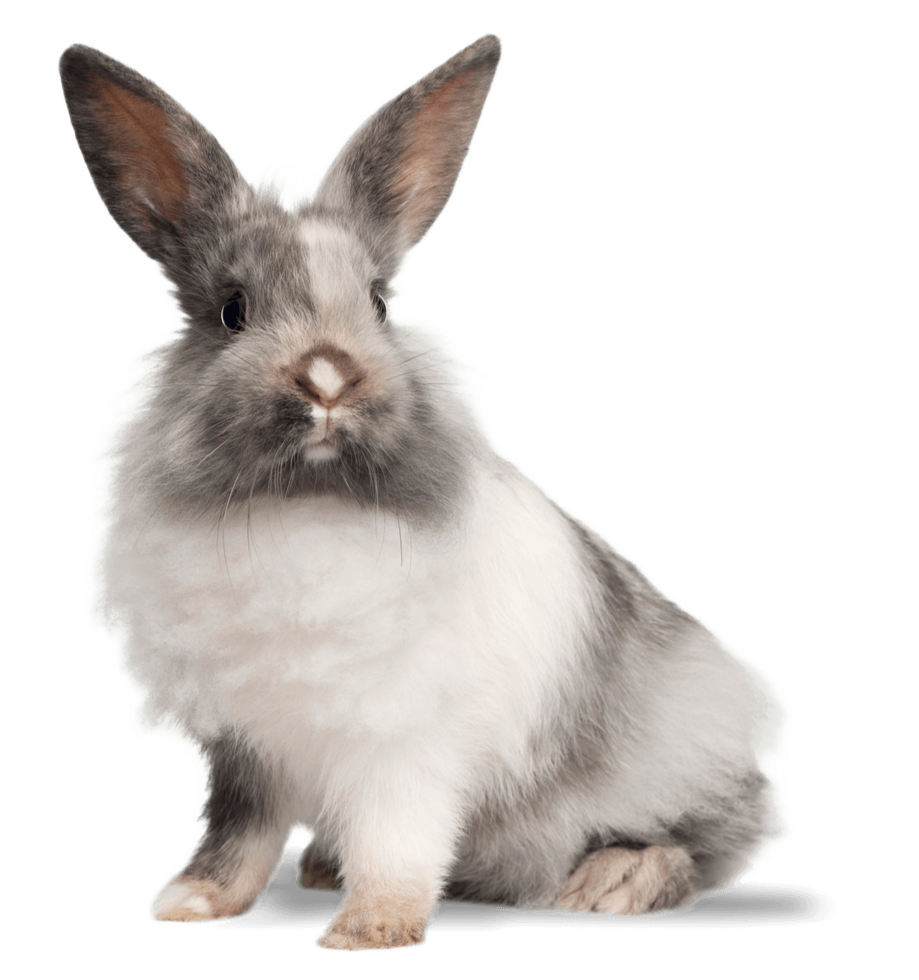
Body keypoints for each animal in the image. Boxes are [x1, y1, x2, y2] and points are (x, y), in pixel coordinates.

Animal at [65, 33, 793, 952]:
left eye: (378, 303)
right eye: (232, 310)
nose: (327, 378)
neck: (308, 507)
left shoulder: (405, 745)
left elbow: (397, 838)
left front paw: (367, 930)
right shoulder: (245, 744)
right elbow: (237, 830)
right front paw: (192, 903)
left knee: (699, 845)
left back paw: (610, 883)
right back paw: (322, 865)